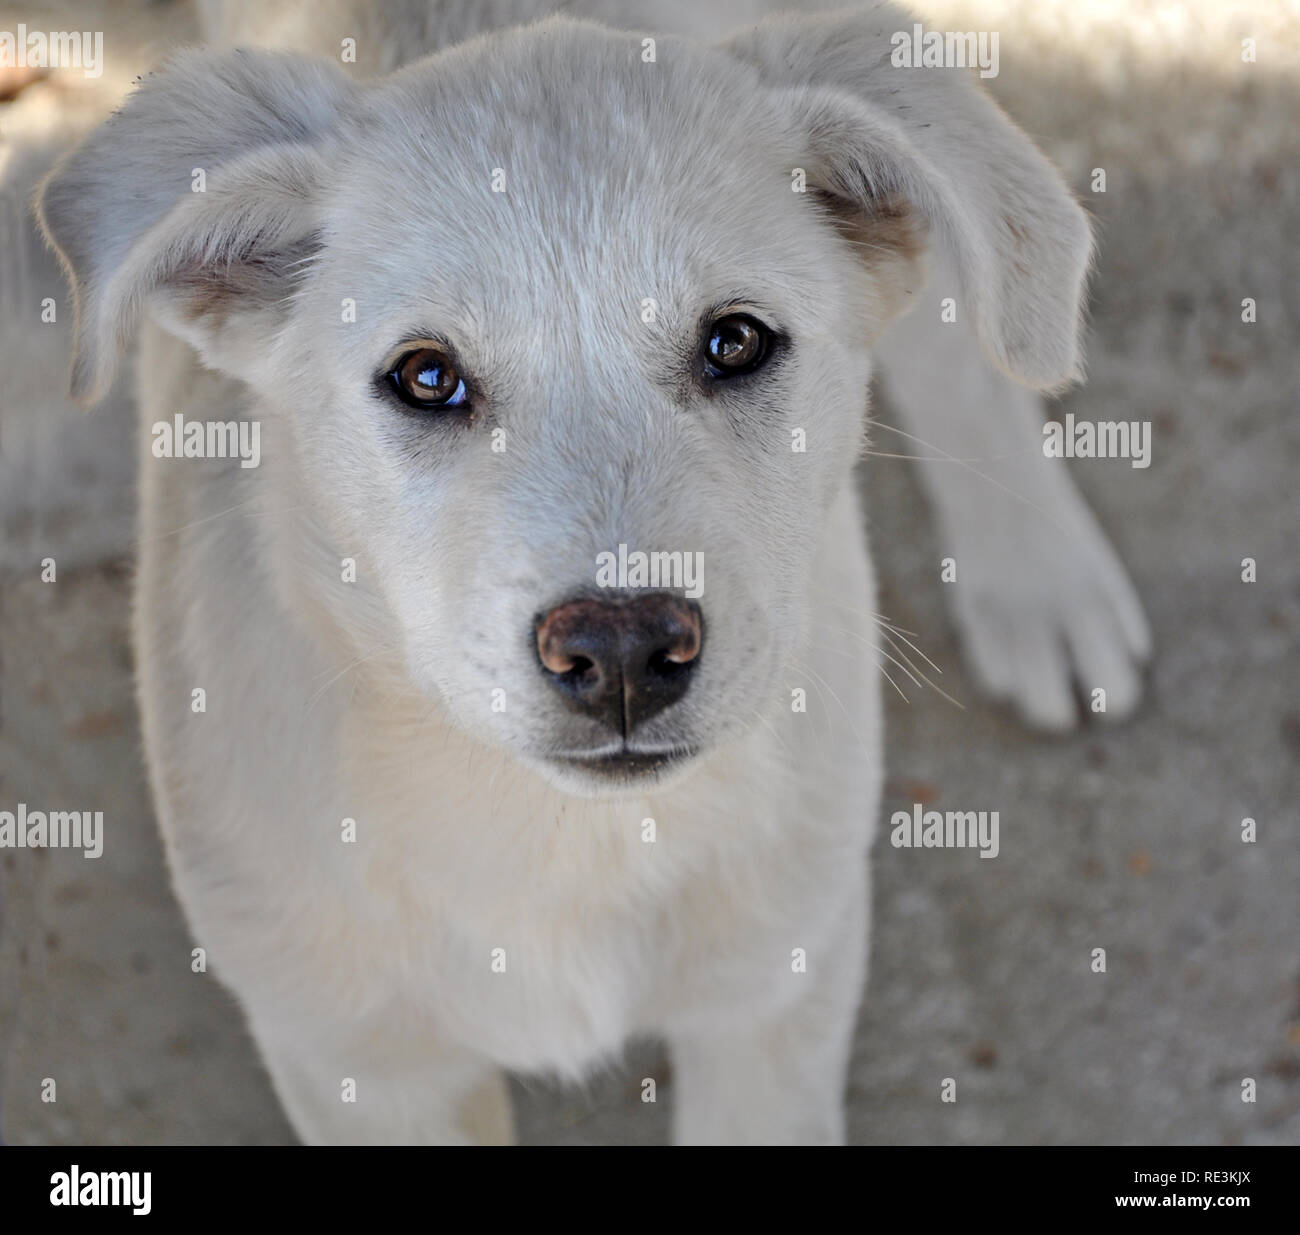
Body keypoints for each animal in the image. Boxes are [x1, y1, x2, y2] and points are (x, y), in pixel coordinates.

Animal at [32, 0, 1149, 1144]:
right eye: (425, 377)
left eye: (735, 341)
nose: (620, 647)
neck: (561, 837)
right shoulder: (362, 1065)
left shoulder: (775, 1000)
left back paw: (1041, 579)